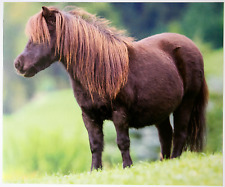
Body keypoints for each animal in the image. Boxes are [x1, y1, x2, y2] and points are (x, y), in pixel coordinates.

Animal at [14, 6, 208, 171]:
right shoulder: (89, 116)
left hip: (186, 103)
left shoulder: (119, 113)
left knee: (180, 133)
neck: (100, 69)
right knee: (166, 135)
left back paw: (174, 161)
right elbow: (95, 144)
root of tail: (192, 46)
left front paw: (127, 167)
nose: (18, 64)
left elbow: (122, 142)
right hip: (161, 110)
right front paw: (95, 170)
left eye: (40, 38)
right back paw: (165, 163)